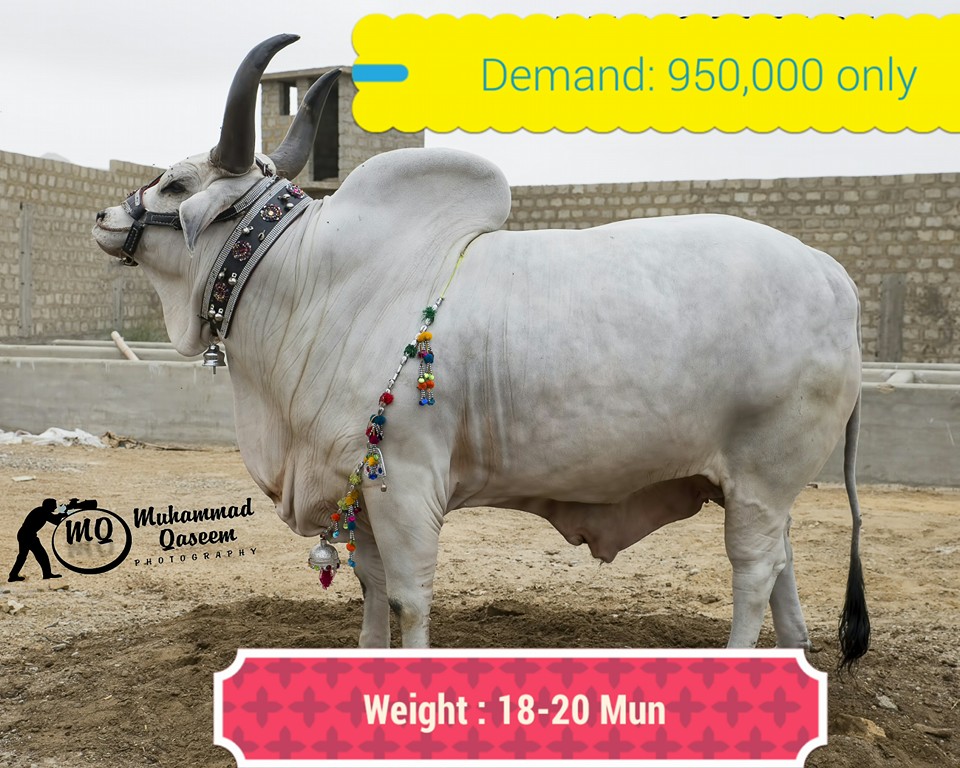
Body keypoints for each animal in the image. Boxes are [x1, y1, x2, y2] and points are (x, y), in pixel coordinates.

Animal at [93, 34, 869, 667]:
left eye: (176, 184)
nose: (102, 217)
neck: (310, 277)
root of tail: (832, 275)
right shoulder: (355, 487)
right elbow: (371, 594)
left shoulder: (405, 480)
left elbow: (407, 598)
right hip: (760, 486)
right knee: (785, 579)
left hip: (762, 480)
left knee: (752, 578)